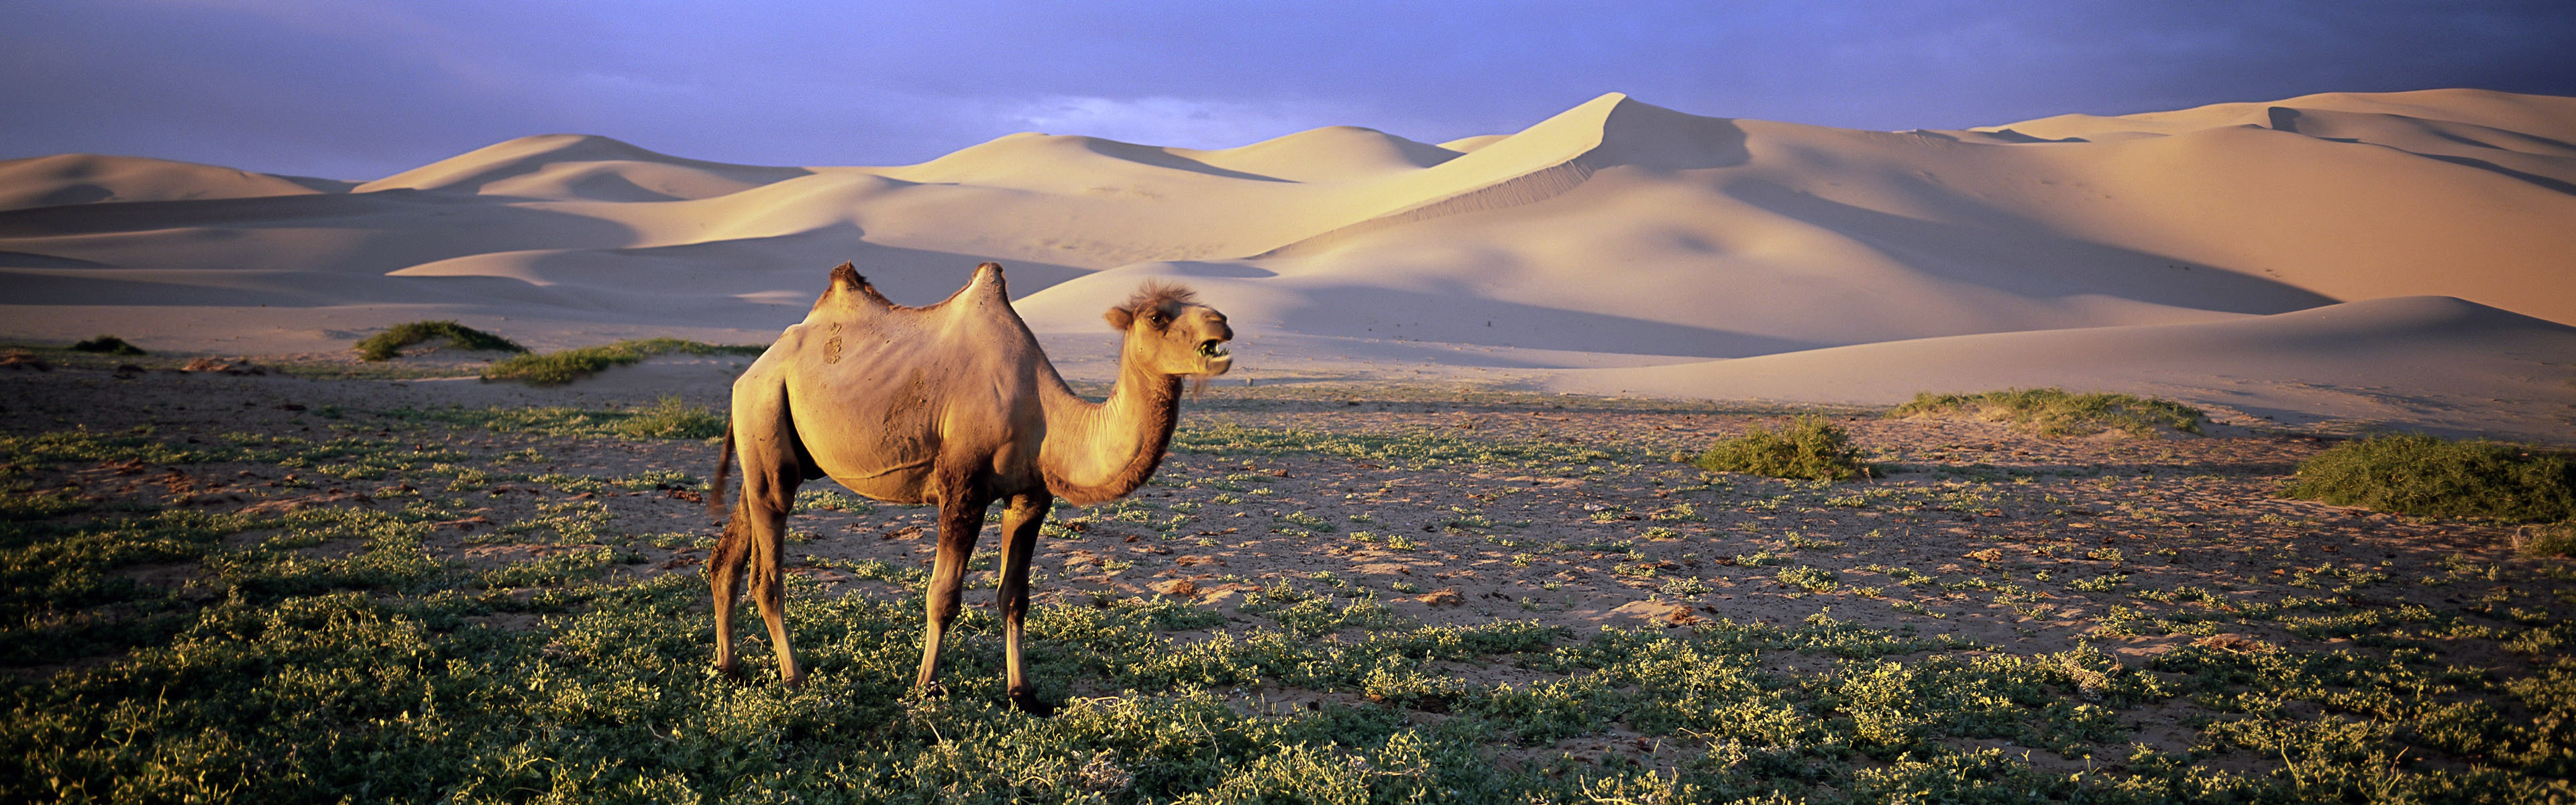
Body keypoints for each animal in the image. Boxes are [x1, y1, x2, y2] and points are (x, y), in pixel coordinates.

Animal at [700, 259, 1231, 712]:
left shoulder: (1030, 497)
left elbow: (1015, 596)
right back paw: (795, 678)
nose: (1222, 322)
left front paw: (1023, 694)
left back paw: (728, 667)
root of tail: (750, 372)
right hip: (766, 417)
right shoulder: (963, 487)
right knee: (767, 572)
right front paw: (925, 687)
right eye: (1159, 317)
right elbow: (943, 595)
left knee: (727, 556)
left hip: (768, 447)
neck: (1044, 414)